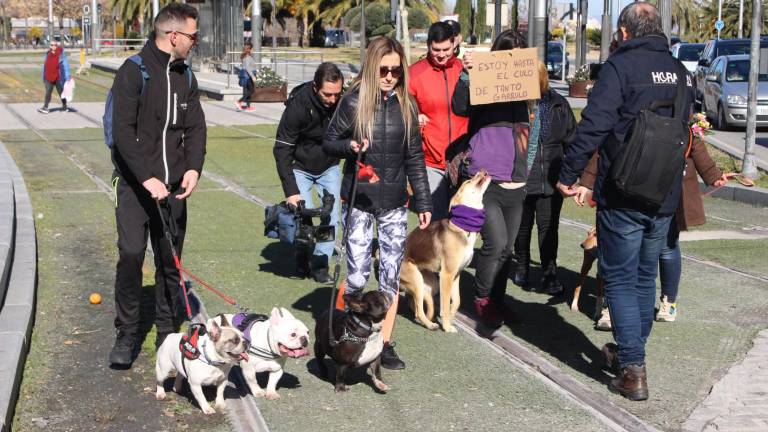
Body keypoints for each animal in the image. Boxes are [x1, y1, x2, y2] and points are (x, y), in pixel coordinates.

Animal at [400, 170, 488, 332]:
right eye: (468, 181)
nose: (483, 170)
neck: (463, 227)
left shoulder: (456, 273)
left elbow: (457, 301)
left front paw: (452, 316)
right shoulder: (447, 275)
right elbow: (446, 304)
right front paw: (447, 326)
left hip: (431, 284)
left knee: (414, 303)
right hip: (416, 279)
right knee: (418, 309)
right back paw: (430, 324)